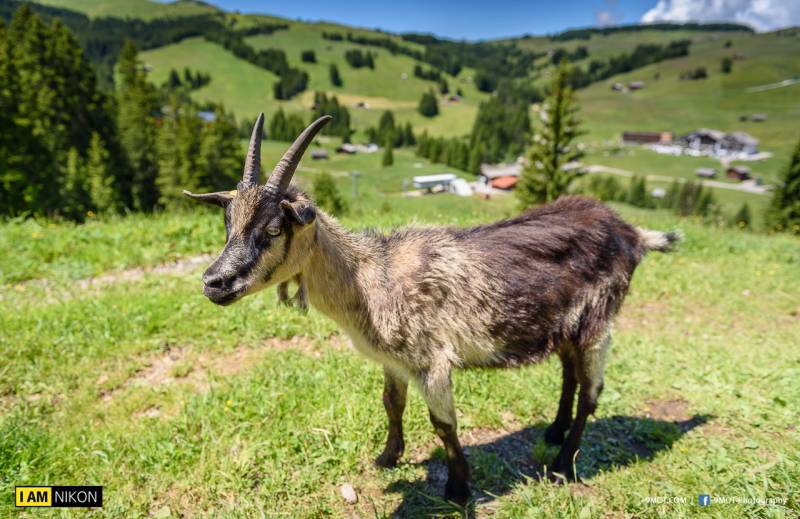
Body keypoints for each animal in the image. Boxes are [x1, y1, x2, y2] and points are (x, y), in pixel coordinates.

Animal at [183, 116, 680, 506]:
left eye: (272, 229)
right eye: (227, 225)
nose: (214, 282)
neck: (372, 278)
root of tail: (632, 233)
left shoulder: (432, 360)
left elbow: (443, 424)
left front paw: (458, 490)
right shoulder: (393, 359)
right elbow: (392, 404)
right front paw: (388, 457)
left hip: (599, 319)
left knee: (592, 392)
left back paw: (562, 464)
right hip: (564, 325)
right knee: (570, 375)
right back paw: (554, 434)